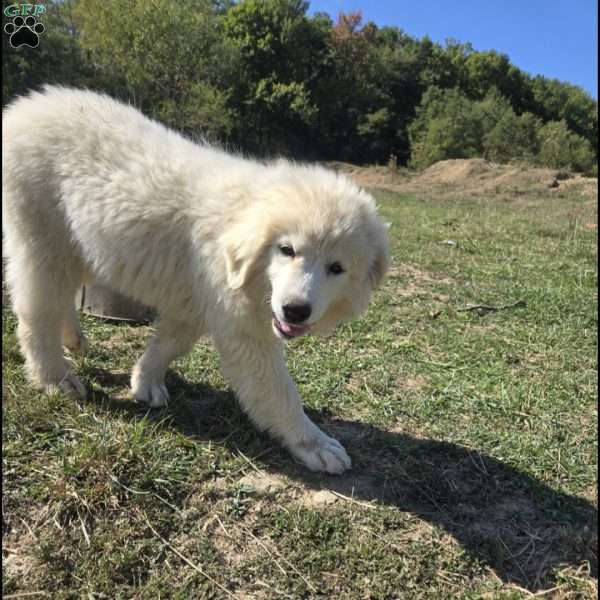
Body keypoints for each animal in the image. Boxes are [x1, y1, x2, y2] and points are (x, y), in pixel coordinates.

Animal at [1, 86, 390, 476]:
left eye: (336, 268)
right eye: (287, 250)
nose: (295, 311)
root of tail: (24, 107)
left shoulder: (193, 303)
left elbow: (170, 344)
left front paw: (145, 382)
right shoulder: (242, 329)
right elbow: (278, 392)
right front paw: (315, 443)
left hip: (80, 247)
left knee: (62, 297)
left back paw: (74, 340)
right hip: (44, 242)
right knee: (37, 315)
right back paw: (56, 379)